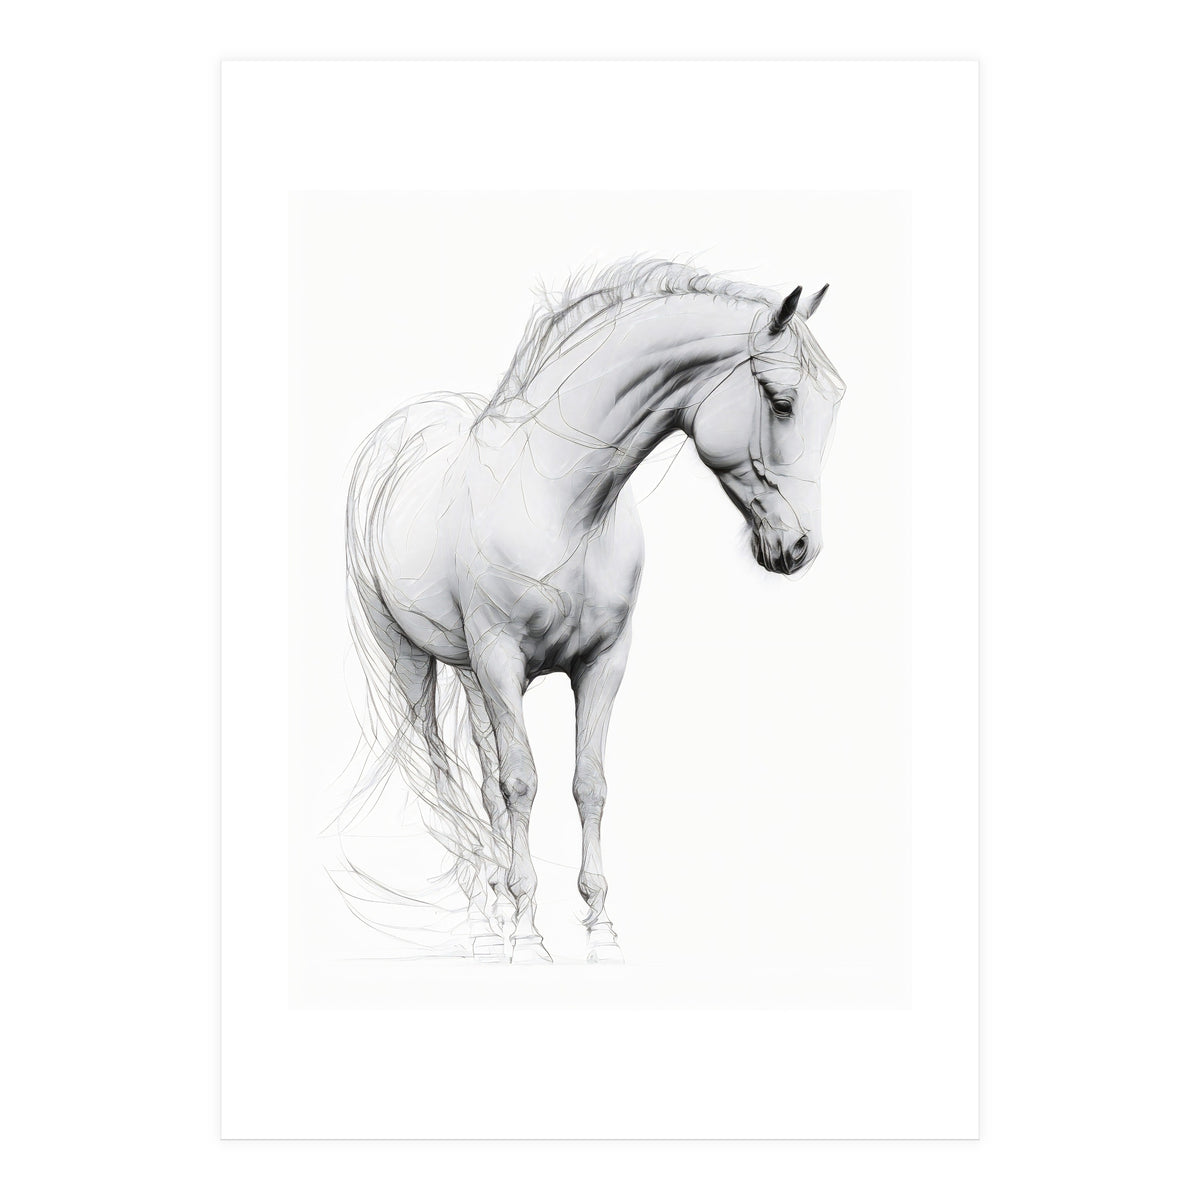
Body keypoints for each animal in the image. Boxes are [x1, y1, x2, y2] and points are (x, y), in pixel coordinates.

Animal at [342, 258, 845, 964]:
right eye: (781, 401)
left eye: (836, 400)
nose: (799, 548)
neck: (563, 503)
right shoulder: (501, 661)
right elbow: (522, 783)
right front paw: (529, 936)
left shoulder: (602, 663)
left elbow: (589, 782)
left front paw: (599, 928)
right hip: (410, 657)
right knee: (441, 770)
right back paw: (481, 915)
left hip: (468, 672)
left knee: (481, 776)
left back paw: (493, 908)